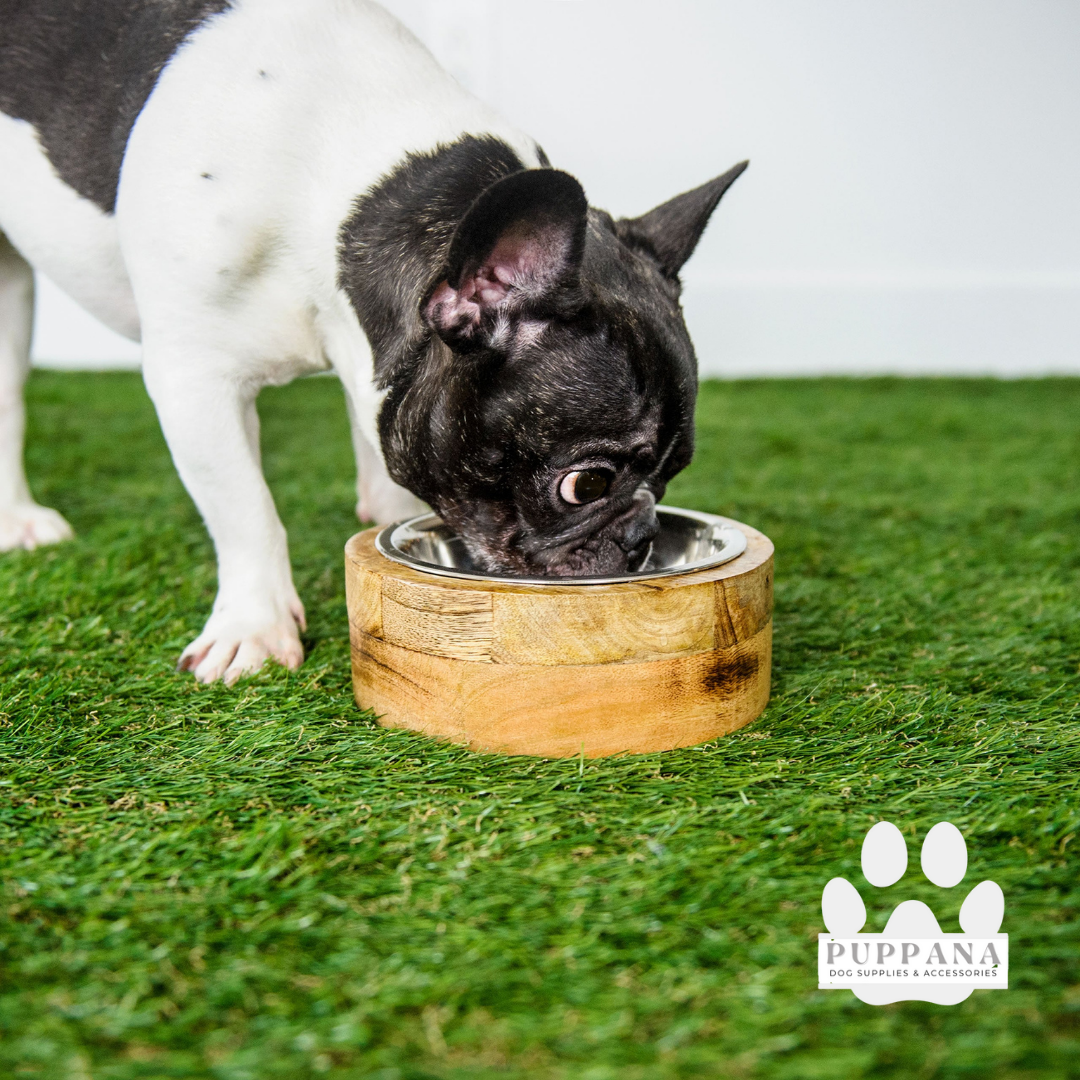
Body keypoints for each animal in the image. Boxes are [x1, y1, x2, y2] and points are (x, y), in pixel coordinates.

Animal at [0, 2, 743, 682]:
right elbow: (246, 510)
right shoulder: (195, 380)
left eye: (670, 476)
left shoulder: (373, 365)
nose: (643, 537)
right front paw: (254, 629)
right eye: (586, 485)